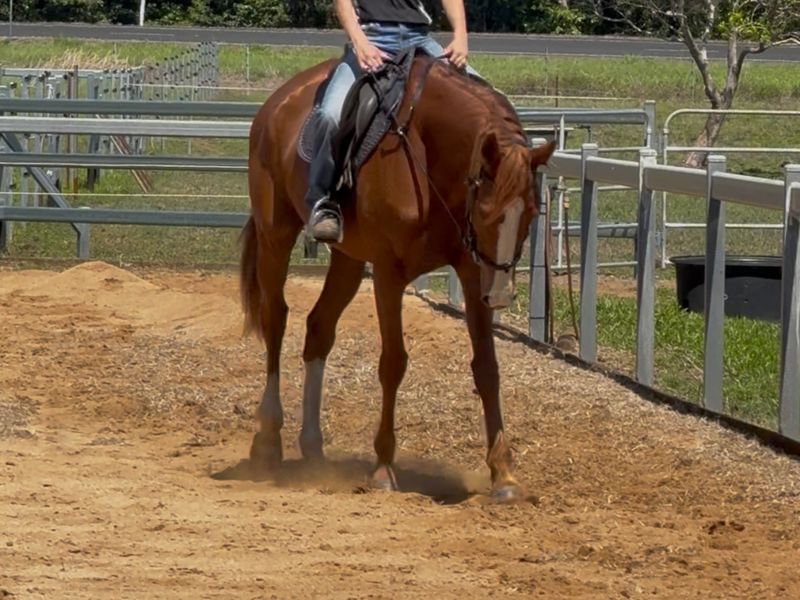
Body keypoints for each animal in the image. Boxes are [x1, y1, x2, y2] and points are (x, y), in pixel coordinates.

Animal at [240, 53, 555, 502]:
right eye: (487, 211)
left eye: (530, 213)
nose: (499, 296)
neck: (429, 156)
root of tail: (277, 102)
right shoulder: (389, 273)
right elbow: (393, 362)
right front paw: (382, 468)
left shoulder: (471, 270)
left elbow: (487, 368)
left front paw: (504, 475)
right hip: (275, 236)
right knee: (276, 320)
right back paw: (268, 439)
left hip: (348, 260)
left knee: (318, 328)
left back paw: (313, 448)